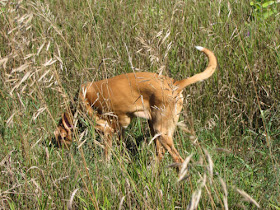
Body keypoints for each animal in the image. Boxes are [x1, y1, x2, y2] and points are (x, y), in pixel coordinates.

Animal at [54, 46, 217, 165]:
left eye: (60, 139)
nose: (61, 155)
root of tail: (175, 84)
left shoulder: (107, 130)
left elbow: (106, 156)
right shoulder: (119, 130)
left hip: (161, 131)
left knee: (178, 159)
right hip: (154, 129)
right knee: (160, 154)